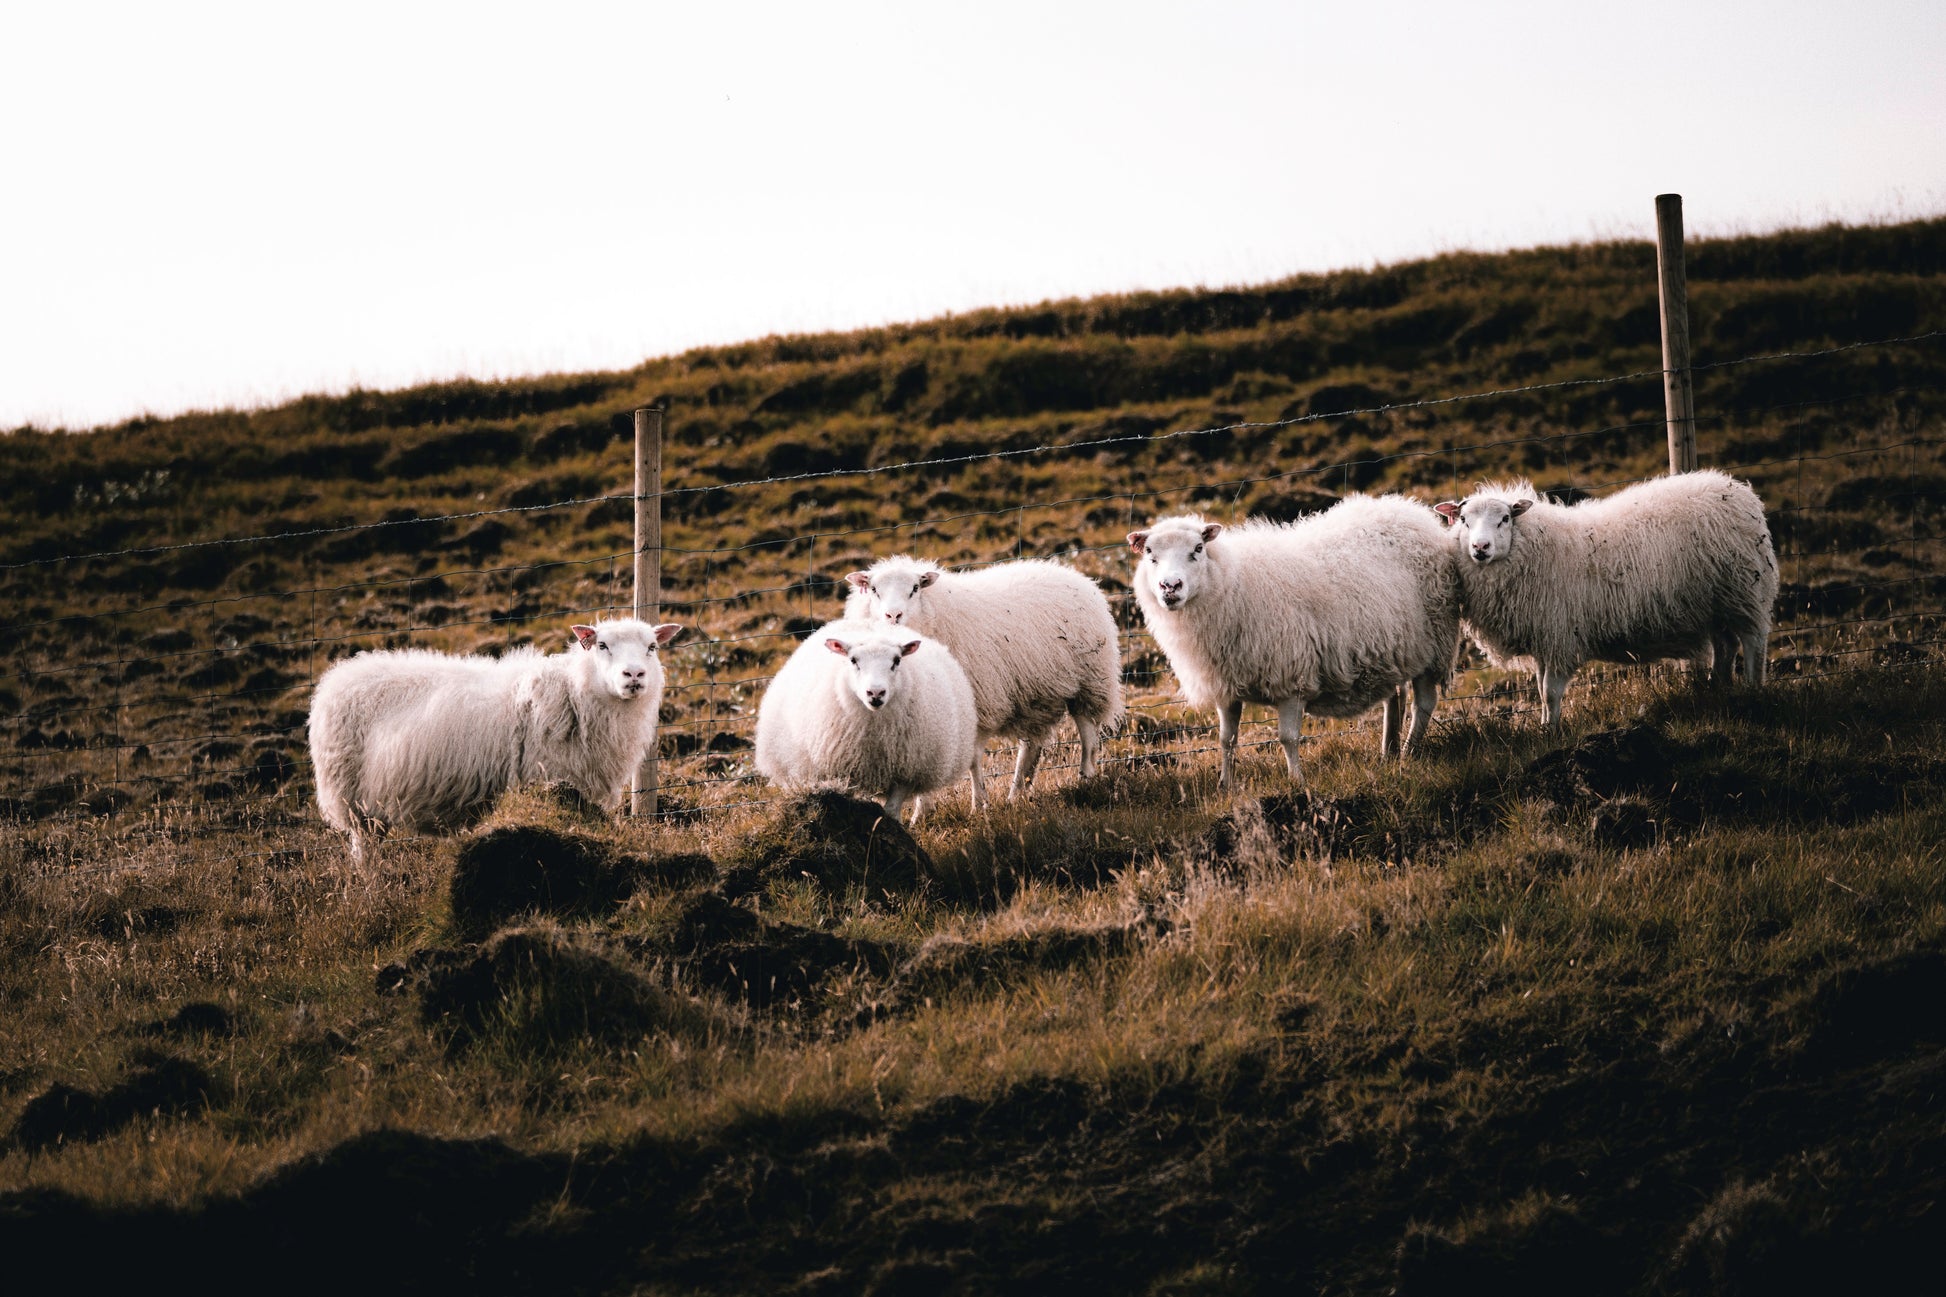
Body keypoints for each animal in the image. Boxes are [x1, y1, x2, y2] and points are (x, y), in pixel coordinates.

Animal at [309, 618, 681, 862]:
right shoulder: (549, 783)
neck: (574, 693)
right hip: (354, 799)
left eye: (652, 647)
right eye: (602, 645)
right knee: (365, 855)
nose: (634, 675)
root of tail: (338, 677)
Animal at [753, 619, 978, 819]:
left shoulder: (907, 771)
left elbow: (891, 811)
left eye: (897, 660)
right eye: (853, 660)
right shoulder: (843, 772)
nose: (876, 693)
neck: (874, 728)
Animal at [843, 556, 1123, 806]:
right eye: (874, 590)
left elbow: (973, 760)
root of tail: (1075, 574)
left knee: (1087, 730)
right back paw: (1016, 794)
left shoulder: (979, 703)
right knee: (1031, 746)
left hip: (1091, 678)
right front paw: (922, 812)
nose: (893, 615)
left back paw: (1086, 778)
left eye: (914, 589)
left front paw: (979, 804)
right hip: (1037, 693)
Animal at [1127, 494, 1462, 788]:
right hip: (1394, 648)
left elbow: (1287, 737)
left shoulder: (1292, 679)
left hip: (1435, 643)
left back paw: (1409, 751)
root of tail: (1409, 509)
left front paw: (1297, 781)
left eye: (1197, 548)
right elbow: (1226, 739)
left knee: (1424, 703)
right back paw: (1388, 752)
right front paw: (1225, 785)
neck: (1231, 583)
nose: (1170, 586)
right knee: (1395, 697)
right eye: (1150, 554)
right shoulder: (1227, 685)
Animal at [1433, 470, 1778, 726]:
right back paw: (1718, 688)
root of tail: (1740, 492)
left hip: (1745, 591)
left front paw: (1552, 731)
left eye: (1505, 518)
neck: (1533, 547)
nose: (1480, 547)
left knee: (1754, 642)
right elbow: (1542, 691)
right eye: (1463, 520)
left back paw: (1752, 689)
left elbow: (1550, 692)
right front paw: (1544, 726)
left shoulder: (1560, 636)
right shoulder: (1544, 637)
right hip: (1716, 604)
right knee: (1726, 644)